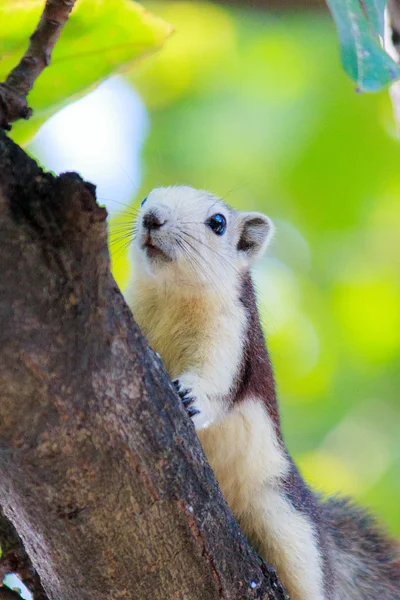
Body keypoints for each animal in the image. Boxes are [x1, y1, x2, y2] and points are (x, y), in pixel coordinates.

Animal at [130, 186, 400, 600]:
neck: (168, 298)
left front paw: (190, 396)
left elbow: (215, 383)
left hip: (285, 518)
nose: (152, 217)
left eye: (218, 222)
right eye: (146, 199)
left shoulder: (233, 337)